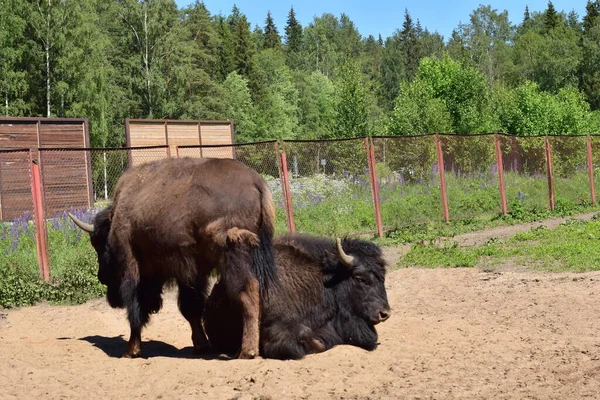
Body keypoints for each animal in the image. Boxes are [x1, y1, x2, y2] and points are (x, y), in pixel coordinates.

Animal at [70, 156, 276, 360]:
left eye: (98, 244)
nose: (101, 277)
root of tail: (255, 181)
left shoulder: (132, 264)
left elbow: (136, 308)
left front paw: (131, 350)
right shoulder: (191, 273)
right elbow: (191, 308)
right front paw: (201, 346)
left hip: (232, 255)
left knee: (248, 291)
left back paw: (247, 351)